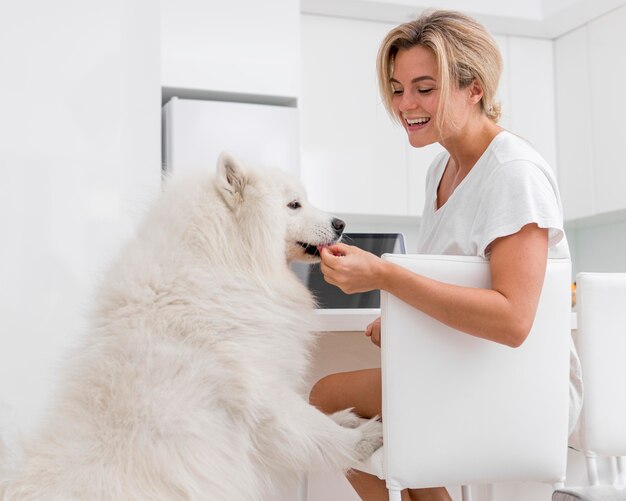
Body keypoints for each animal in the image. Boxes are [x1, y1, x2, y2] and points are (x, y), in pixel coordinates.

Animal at [1, 153, 380, 500]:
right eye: (294, 204)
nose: (341, 223)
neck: (225, 264)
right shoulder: (260, 390)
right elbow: (309, 428)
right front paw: (362, 439)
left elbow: (315, 416)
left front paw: (345, 418)